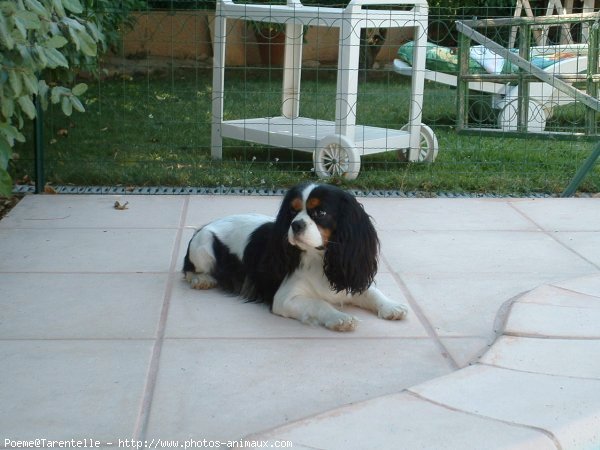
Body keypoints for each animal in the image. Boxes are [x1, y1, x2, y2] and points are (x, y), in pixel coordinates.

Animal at [183, 182, 408, 330]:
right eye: (292, 211)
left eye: (321, 213)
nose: (296, 224)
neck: (320, 258)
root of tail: (204, 225)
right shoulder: (285, 299)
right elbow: (319, 303)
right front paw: (339, 317)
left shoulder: (348, 276)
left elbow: (372, 293)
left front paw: (392, 306)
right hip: (204, 246)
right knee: (188, 270)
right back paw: (201, 280)